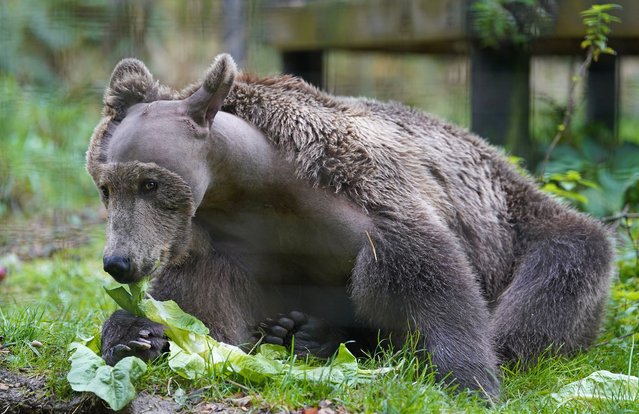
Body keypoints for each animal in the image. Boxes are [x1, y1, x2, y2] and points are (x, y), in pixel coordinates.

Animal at [86, 53, 616, 396]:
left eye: (150, 183)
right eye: (105, 187)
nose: (119, 262)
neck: (254, 185)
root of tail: (507, 166)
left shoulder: (372, 202)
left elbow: (433, 287)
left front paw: (468, 379)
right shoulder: (221, 247)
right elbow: (198, 309)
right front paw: (137, 335)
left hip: (523, 228)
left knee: (553, 281)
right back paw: (300, 332)